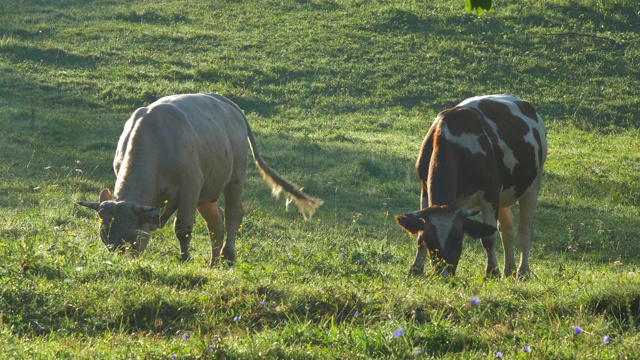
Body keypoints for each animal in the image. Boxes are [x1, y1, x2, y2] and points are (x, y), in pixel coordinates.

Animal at [77, 93, 322, 268]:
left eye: (132, 237)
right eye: (105, 236)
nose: (122, 260)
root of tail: (224, 102)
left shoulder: (190, 187)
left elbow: (182, 228)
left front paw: (184, 259)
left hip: (236, 177)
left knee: (233, 215)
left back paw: (228, 256)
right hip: (208, 190)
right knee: (216, 223)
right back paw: (213, 263)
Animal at [396, 93, 544, 278]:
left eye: (457, 239)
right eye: (430, 241)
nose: (444, 274)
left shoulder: (490, 193)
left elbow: (488, 237)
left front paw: (492, 272)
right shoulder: (424, 190)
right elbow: (419, 236)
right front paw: (415, 269)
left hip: (532, 187)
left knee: (525, 231)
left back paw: (522, 272)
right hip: (503, 197)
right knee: (507, 228)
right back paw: (509, 269)